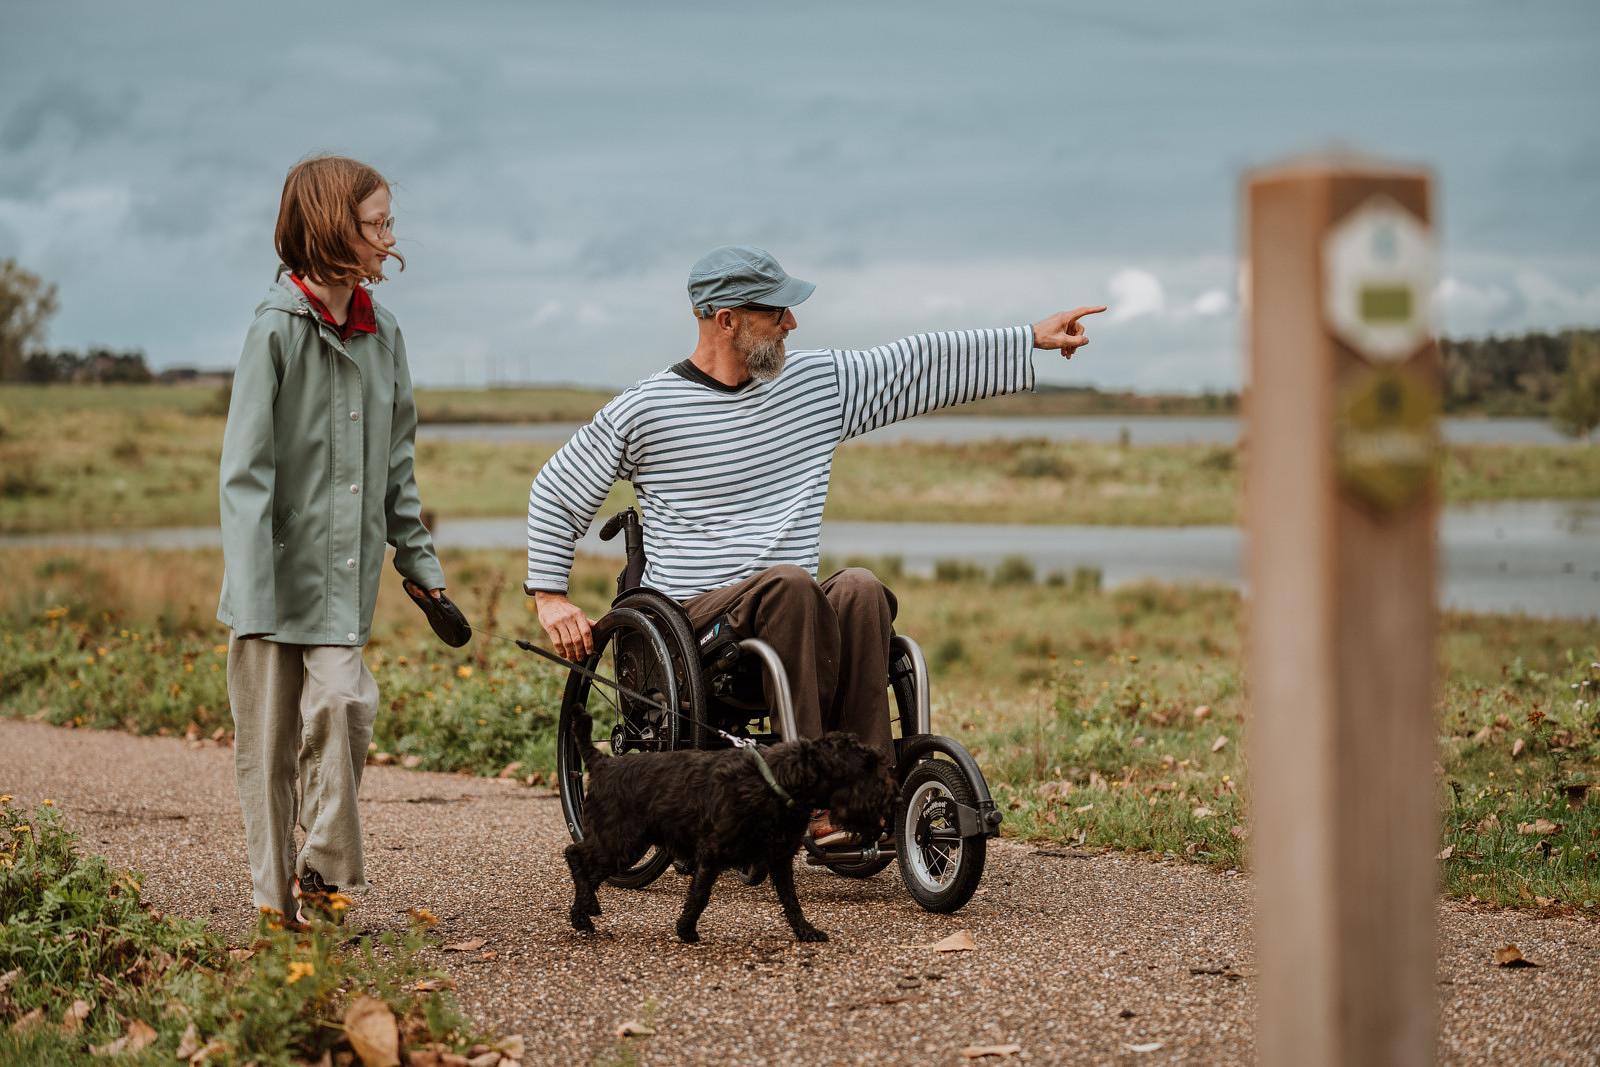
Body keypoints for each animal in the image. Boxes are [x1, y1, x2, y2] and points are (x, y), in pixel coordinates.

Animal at [563, 726, 896, 940]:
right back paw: (582, 914)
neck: (776, 782)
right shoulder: (711, 853)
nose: (893, 795)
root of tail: (603, 763)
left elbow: (791, 901)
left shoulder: (779, 859)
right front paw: (686, 930)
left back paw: (587, 907)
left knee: (587, 868)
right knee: (575, 855)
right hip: (621, 842)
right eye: (865, 767)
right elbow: (700, 894)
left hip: (622, 844)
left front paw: (805, 931)